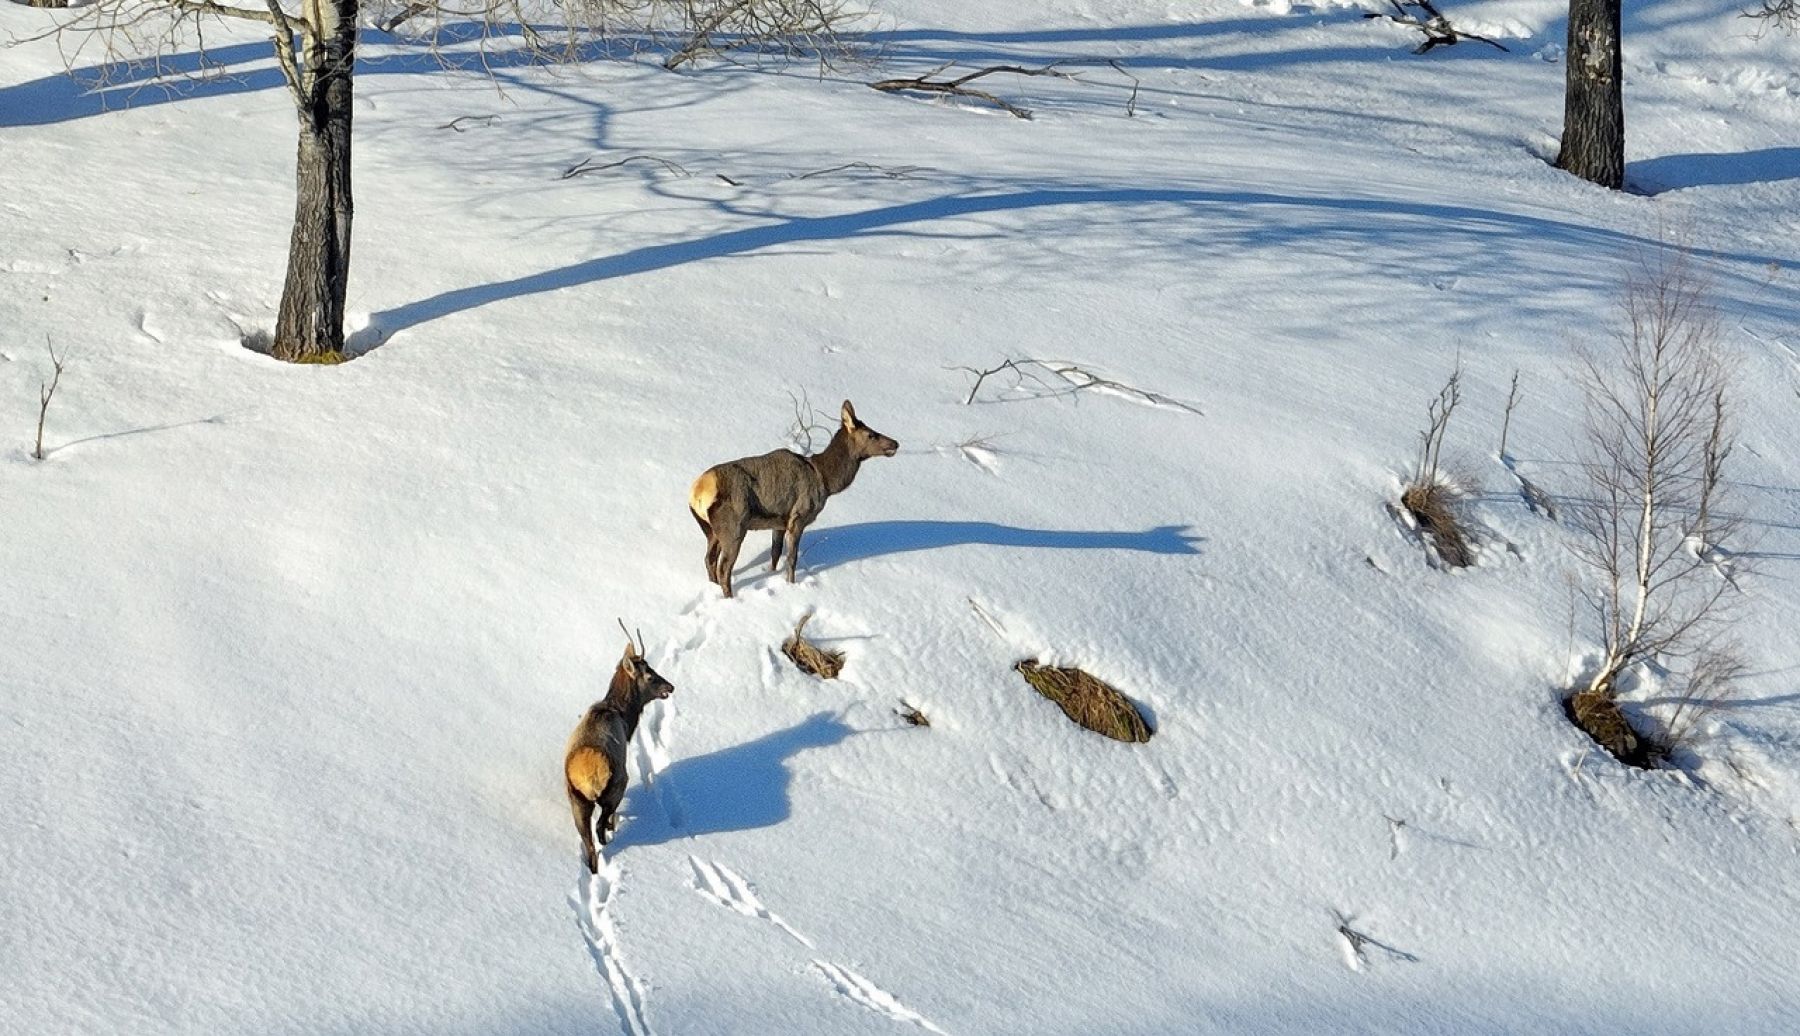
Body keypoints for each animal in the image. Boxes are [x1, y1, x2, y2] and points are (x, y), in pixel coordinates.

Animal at [561, 633, 676, 874]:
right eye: (650, 676)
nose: (671, 687)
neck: (622, 715)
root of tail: (586, 774)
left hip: (577, 800)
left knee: (589, 845)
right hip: (616, 786)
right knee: (599, 827)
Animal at [687, 402, 900, 597]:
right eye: (871, 434)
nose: (895, 444)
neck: (825, 480)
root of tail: (697, 493)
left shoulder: (779, 522)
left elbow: (775, 553)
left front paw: (771, 575)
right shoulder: (798, 517)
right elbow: (791, 559)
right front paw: (791, 585)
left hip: (710, 530)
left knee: (709, 560)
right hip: (734, 528)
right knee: (724, 568)